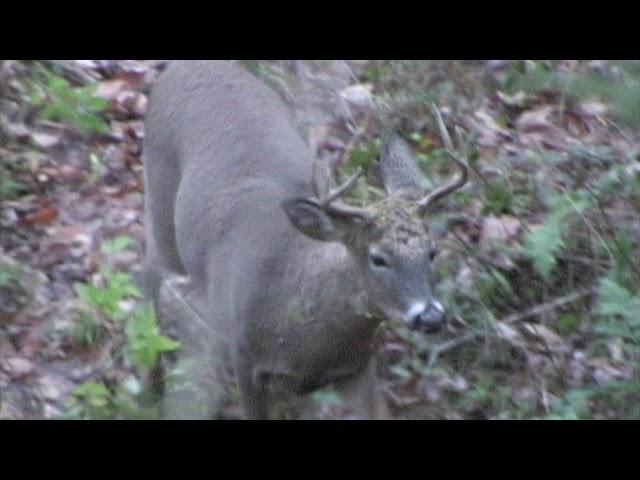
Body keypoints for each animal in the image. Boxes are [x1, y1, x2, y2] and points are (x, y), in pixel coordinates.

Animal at [141, 61, 470, 420]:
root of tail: (179, 68)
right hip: (161, 203)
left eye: (432, 252)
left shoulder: (356, 366)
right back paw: (151, 386)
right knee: (147, 265)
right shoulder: (245, 358)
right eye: (378, 258)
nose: (431, 317)